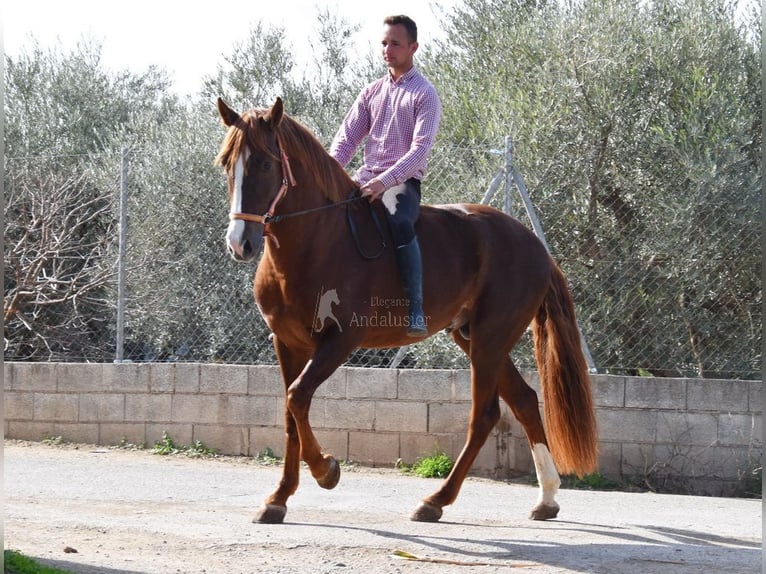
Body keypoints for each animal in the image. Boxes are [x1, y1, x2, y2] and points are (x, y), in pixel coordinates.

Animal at [216, 97, 600, 524]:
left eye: (266, 164)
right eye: (227, 164)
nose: (240, 243)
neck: (315, 242)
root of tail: (533, 244)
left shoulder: (340, 341)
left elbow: (298, 397)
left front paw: (327, 470)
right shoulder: (286, 343)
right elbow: (289, 414)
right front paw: (278, 498)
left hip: (490, 340)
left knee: (485, 416)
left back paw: (436, 500)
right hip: (474, 338)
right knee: (525, 401)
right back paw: (546, 498)